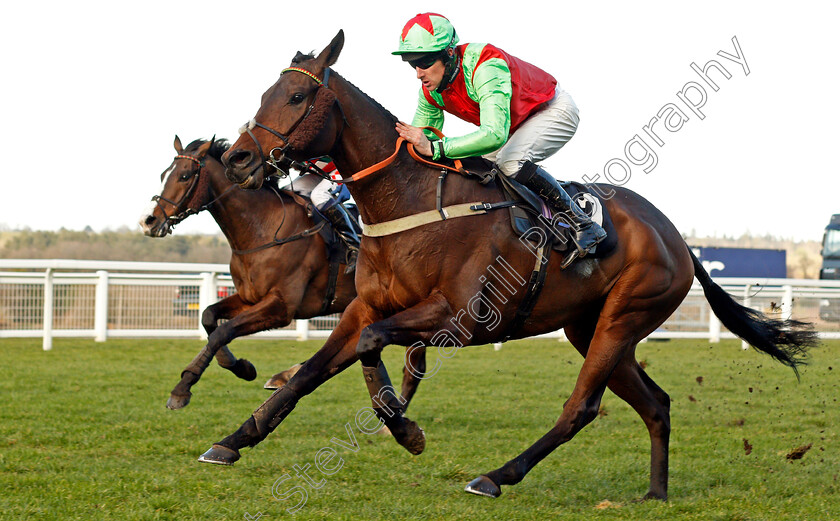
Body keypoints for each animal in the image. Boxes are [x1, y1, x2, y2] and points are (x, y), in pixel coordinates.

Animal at [139, 135, 426, 410]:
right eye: (164, 175)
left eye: (185, 175)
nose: (148, 221)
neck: (262, 229)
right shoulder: (250, 298)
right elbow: (209, 317)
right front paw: (239, 367)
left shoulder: (280, 307)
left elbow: (223, 331)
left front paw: (182, 389)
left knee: (414, 366)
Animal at [202, 31, 812, 500]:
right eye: (266, 92)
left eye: (297, 95)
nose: (238, 158)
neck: (411, 202)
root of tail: (677, 239)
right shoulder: (364, 306)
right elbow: (315, 370)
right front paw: (234, 440)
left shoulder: (461, 319)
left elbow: (374, 347)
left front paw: (404, 427)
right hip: (588, 326)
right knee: (655, 404)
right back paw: (656, 493)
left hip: (624, 316)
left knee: (580, 407)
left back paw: (497, 476)